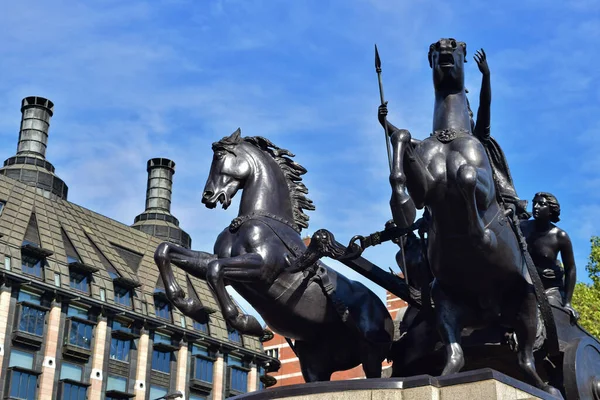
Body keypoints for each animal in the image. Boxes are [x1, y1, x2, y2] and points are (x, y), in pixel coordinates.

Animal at [154, 130, 394, 382]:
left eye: (219, 155)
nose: (208, 196)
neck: (257, 218)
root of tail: (382, 308)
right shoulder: (220, 263)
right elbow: (166, 251)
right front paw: (189, 304)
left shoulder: (263, 269)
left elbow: (215, 270)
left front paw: (246, 323)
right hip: (314, 362)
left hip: (371, 353)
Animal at [382, 38, 560, 396]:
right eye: (434, 48)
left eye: (458, 47)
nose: (445, 48)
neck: (450, 136)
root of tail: (489, 312)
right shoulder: (428, 186)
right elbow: (402, 138)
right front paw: (402, 203)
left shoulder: (480, 185)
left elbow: (464, 177)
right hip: (445, 301)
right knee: (456, 352)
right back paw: (442, 376)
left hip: (526, 301)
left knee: (525, 358)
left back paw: (543, 386)